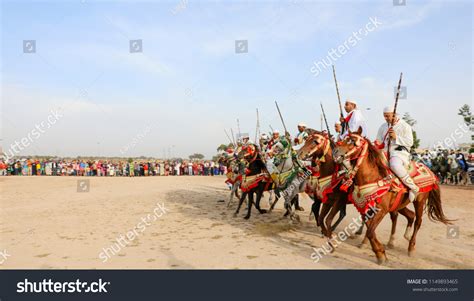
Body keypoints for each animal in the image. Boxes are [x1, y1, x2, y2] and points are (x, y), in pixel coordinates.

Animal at [332, 127, 450, 264]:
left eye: (352, 141)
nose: (335, 151)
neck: (372, 177)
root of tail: (430, 172)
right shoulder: (366, 210)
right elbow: (370, 230)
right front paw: (379, 252)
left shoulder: (381, 210)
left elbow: (371, 231)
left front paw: (380, 254)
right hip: (400, 204)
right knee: (410, 215)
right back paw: (399, 239)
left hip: (419, 201)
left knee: (418, 221)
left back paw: (411, 247)